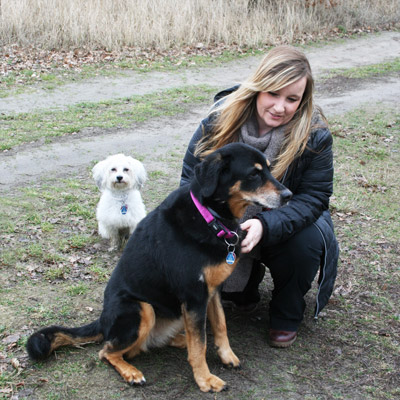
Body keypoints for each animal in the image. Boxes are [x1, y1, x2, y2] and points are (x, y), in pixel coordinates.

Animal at [26, 142, 292, 392]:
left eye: (268, 169)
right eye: (254, 173)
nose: (289, 195)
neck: (210, 217)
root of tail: (102, 320)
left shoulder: (212, 291)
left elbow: (219, 326)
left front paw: (226, 356)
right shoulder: (194, 296)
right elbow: (201, 344)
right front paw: (205, 380)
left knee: (158, 342)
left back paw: (180, 341)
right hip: (142, 308)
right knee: (108, 351)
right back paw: (131, 372)